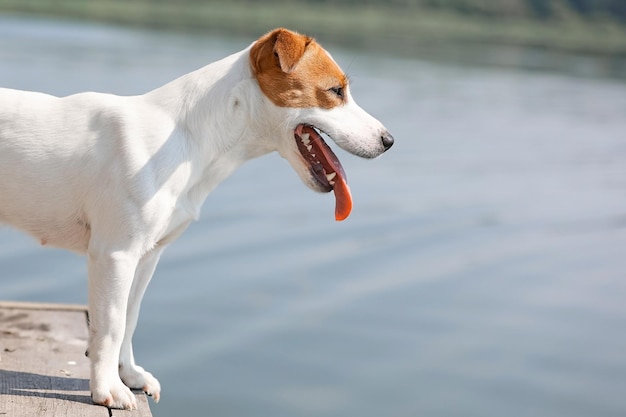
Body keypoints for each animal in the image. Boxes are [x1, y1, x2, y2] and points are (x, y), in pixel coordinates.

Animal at [0, 27, 390, 408]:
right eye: (336, 91)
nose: (389, 140)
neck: (187, 138)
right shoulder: (116, 254)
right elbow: (111, 325)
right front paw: (107, 389)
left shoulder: (147, 256)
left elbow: (129, 318)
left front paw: (129, 374)